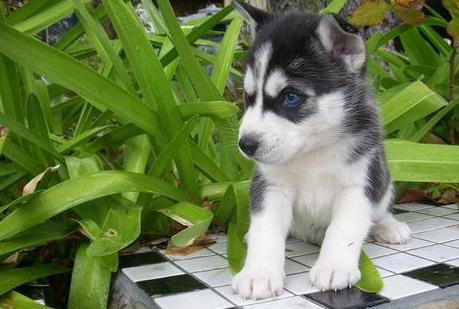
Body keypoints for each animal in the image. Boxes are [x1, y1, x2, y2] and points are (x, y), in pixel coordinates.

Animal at [232, 1, 412, 298]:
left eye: (290, 97)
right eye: (249, 97)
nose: (245, 145)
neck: (313, 152)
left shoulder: (359, 184)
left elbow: (344, 229)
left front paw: (334, 267)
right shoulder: (270, 186)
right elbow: (265, 230)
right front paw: (259, 273)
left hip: (383, 180)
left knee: (379, 210)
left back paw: (388, 226)